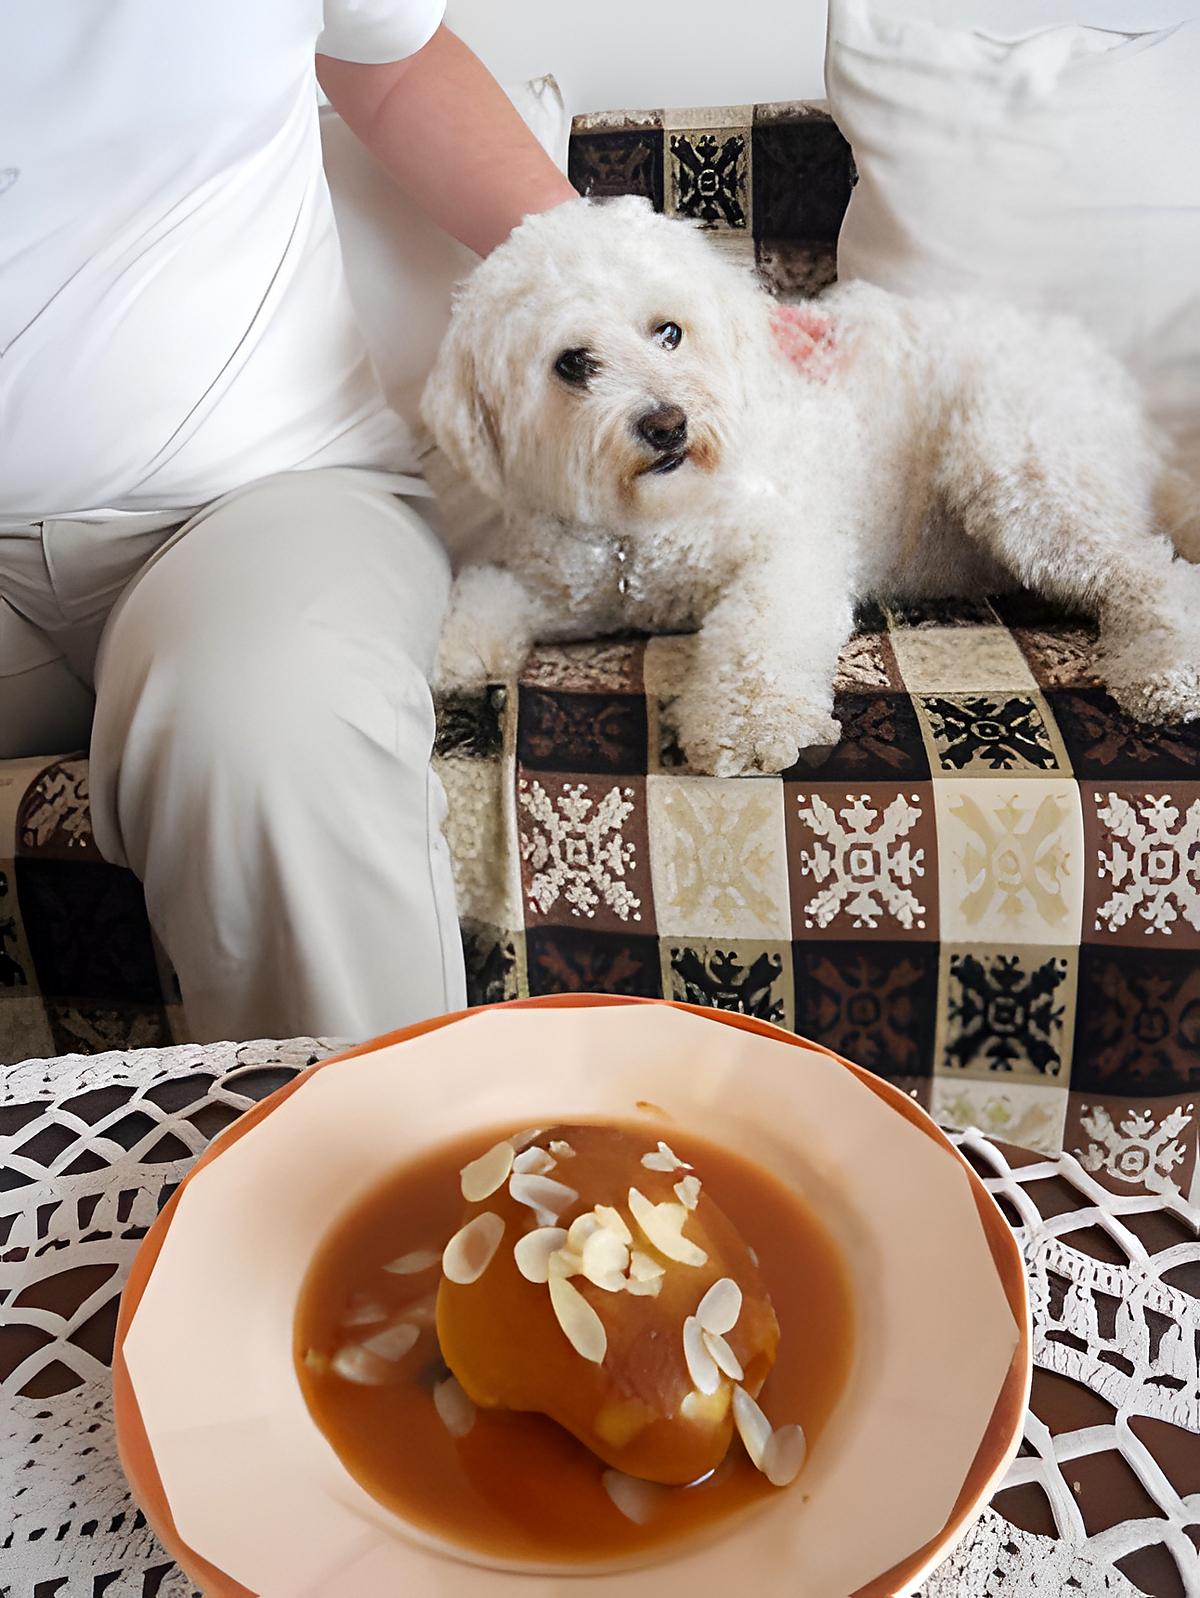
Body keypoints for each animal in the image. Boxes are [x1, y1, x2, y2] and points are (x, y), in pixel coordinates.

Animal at [421, 196, 1200, 776]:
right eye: (573, 364)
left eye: (669, 332)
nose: (667, 424)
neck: (642, 533)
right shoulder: (560, 584)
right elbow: (489, 593)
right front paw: (451, 656)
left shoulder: (791, 551)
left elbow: (758, 631)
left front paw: (750, 724)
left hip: (1019, 466)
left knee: (1150, 575)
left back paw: (1167, 674)